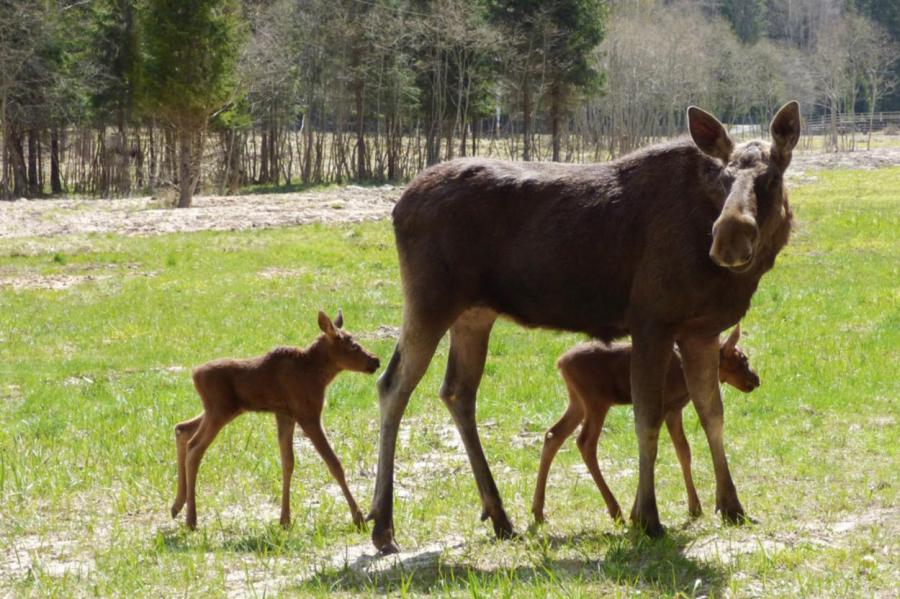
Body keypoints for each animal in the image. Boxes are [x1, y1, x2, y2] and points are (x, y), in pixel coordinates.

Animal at [171, 312, 380, 532]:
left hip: (219, 410)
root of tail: (194, 374)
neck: (318, 374)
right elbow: (334, 463)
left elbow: (288, 462)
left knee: (182, 429)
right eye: (352, 345)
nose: (375, 360)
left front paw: (285, 519)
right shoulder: (308, 415)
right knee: (194, 447)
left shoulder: (285, 415)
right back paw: (191, 519)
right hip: (219, 411)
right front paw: (359, 518)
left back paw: (177, 505)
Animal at [536, 326, 760, 528]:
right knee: (585, 443)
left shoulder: (674, 410)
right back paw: (616, 511)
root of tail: (560, 363)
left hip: (577, 401)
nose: (756, 379)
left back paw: (538, 511)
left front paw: (694, 507)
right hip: (596, 402)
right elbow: (654, 449)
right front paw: (640, 512)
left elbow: (683, 451)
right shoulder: (665, 408)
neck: (683, 376)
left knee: (553, 434)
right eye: (743, 359)